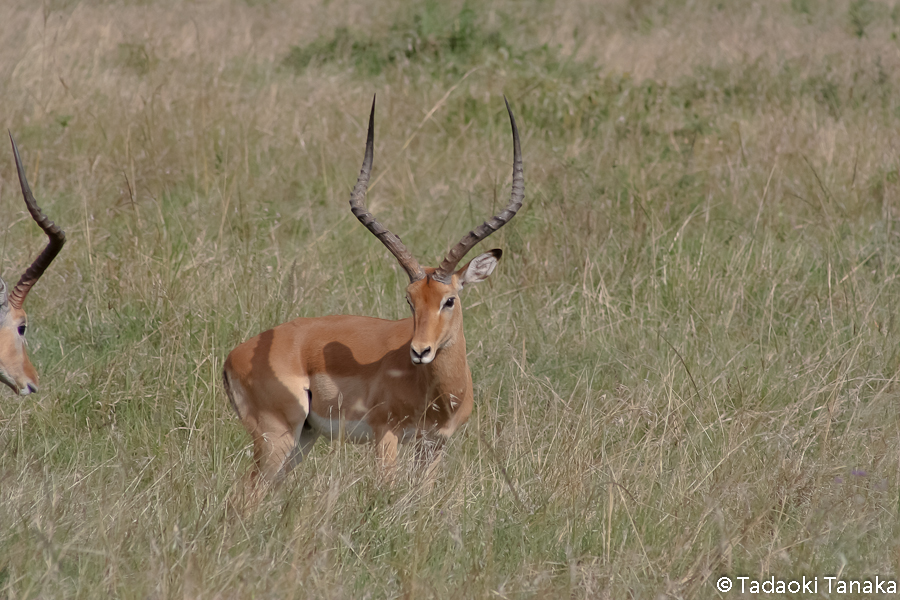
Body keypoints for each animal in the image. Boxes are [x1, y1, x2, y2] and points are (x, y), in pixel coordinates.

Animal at [221, 97, 524, 482]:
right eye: (409, 300)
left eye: (449, 300)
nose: (420, 351)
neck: (432, 388)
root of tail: (234, 356)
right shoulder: (386, 435)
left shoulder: (434, 445)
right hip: (277, 438)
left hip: (303, 439)